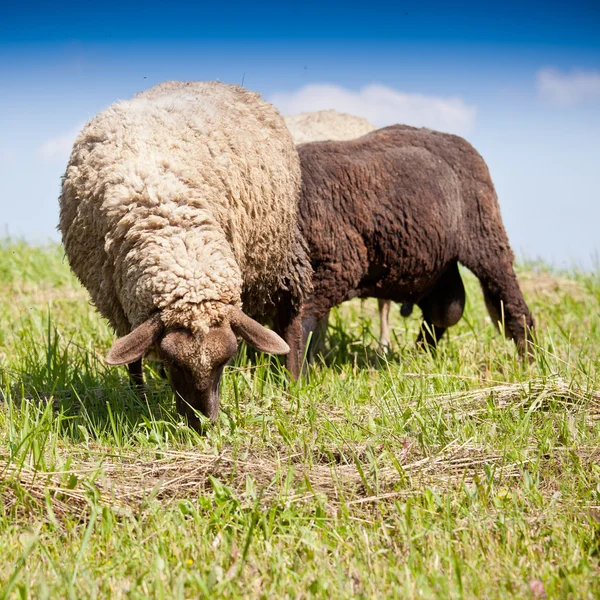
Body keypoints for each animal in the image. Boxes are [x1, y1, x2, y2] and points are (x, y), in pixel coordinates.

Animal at [58, 81, 312, 422]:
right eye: (171, 362)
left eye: (226, 361)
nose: (202, 424)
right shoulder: (120, 307)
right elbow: (132, 357)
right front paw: (141, 400)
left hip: (278, 253)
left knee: (290, 319)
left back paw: (292, 381)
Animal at [282, 123, 536, 376]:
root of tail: (458, 142)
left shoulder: (341, 264)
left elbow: (299, 320)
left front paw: (295, 378)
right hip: (434, 265)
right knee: (445, 309)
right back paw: (421, 357)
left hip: (487, 242)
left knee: (512, 307)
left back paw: (530, 362)